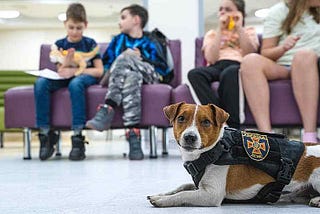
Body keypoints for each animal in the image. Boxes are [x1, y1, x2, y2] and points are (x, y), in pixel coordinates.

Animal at [148, 102, 320, 207]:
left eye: (206, 122)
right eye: (181, 118)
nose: (190, 137)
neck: (212, 152)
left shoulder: (211, 194)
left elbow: (183, 194)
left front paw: (162, 200)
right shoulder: (200, 185)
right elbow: (182, 186)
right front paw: (161, 194)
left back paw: (316, 200)